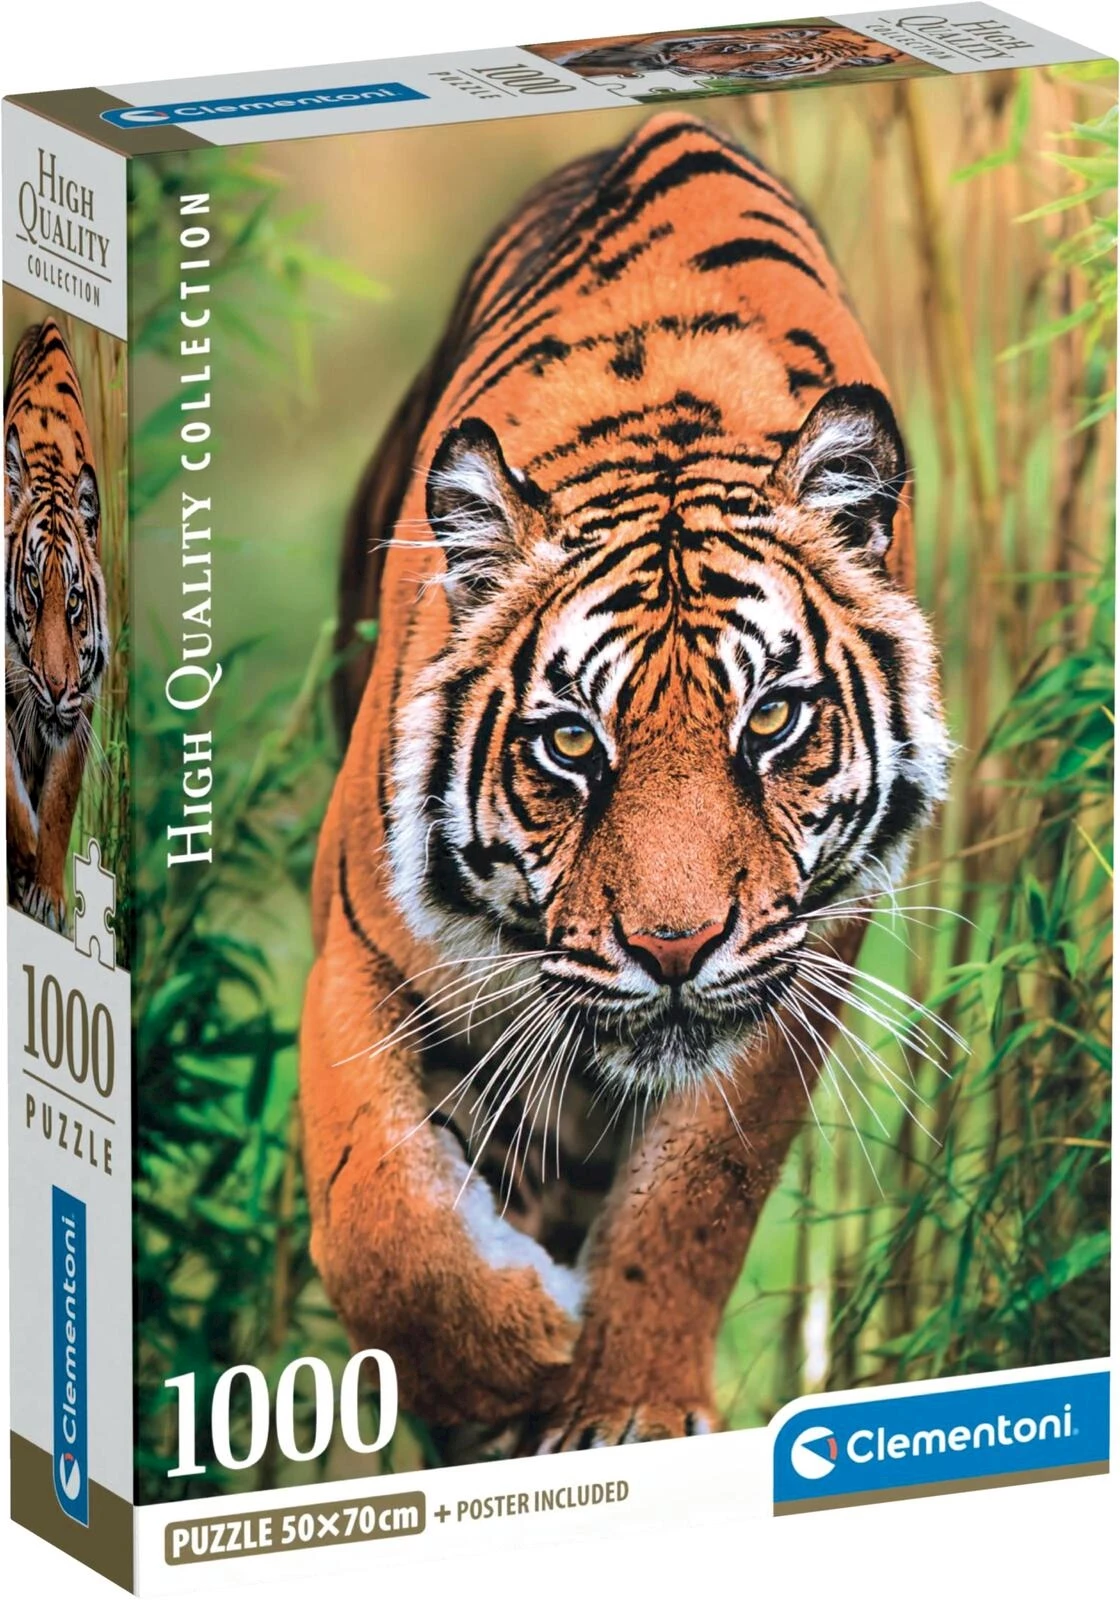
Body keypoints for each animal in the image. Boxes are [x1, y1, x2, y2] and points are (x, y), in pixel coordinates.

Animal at [300, 112, 950, 1452]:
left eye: (772, 719)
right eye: (569, 743)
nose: (672, 948)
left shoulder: (796, 964)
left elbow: (695, 1194)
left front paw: (629, 1409)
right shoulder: (360, 949)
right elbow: (378, 1219)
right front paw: (505, 1360)